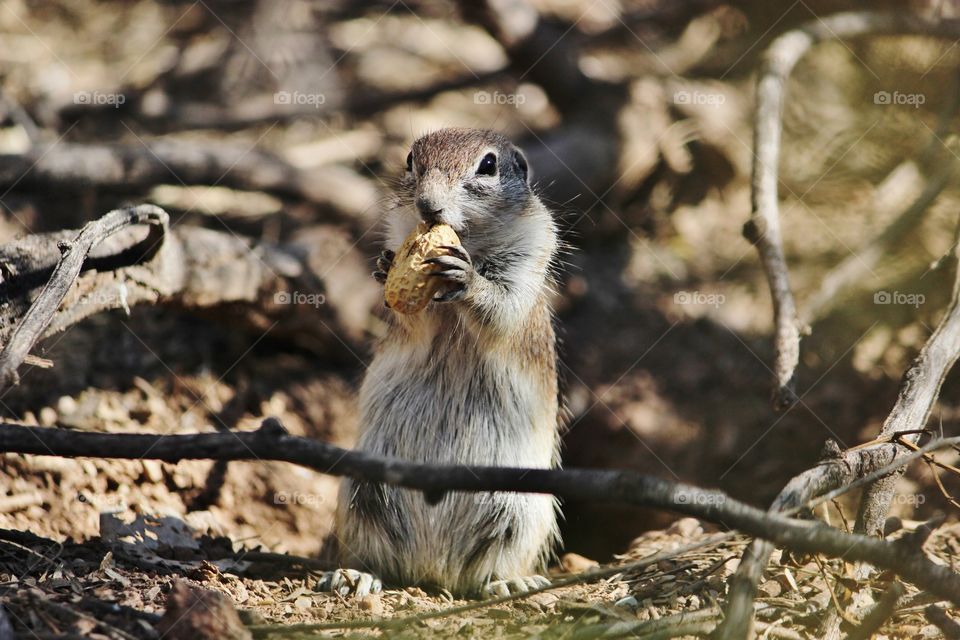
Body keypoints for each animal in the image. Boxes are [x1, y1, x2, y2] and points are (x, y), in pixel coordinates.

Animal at [329, 128, 562, 598]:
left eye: (488, 166)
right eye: (410, 160)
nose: (427, 205)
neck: (467, 240)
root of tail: (434, 570)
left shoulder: (527, 263)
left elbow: (501, 310)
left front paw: (467, 278)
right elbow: (408, 313)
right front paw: (385, 265)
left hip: (521, 510)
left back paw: (509, 583)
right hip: (360, 491)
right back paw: (357, 575)